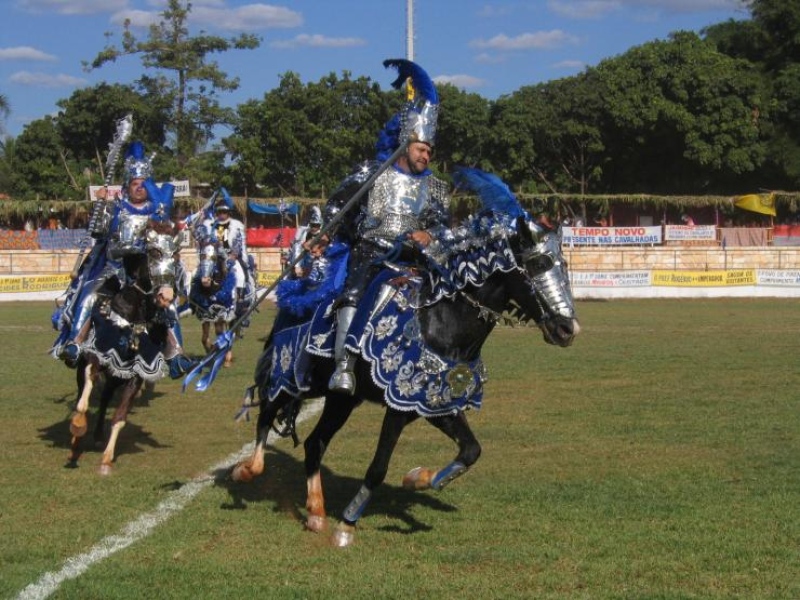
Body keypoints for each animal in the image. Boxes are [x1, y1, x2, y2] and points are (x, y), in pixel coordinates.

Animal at [228, 166, 580, 548]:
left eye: (564, 264)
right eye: (540, 262)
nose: (568, 328)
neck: (440, 318)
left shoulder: (433, 403)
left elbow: (471, 451)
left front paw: (421, 478)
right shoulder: (397, 406)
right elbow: (378, 467)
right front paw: (347, 525)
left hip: (341, 400)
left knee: (313, 443)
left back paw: (317, 512)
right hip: (291, 379)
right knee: (266, 412)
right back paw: (247, 470)